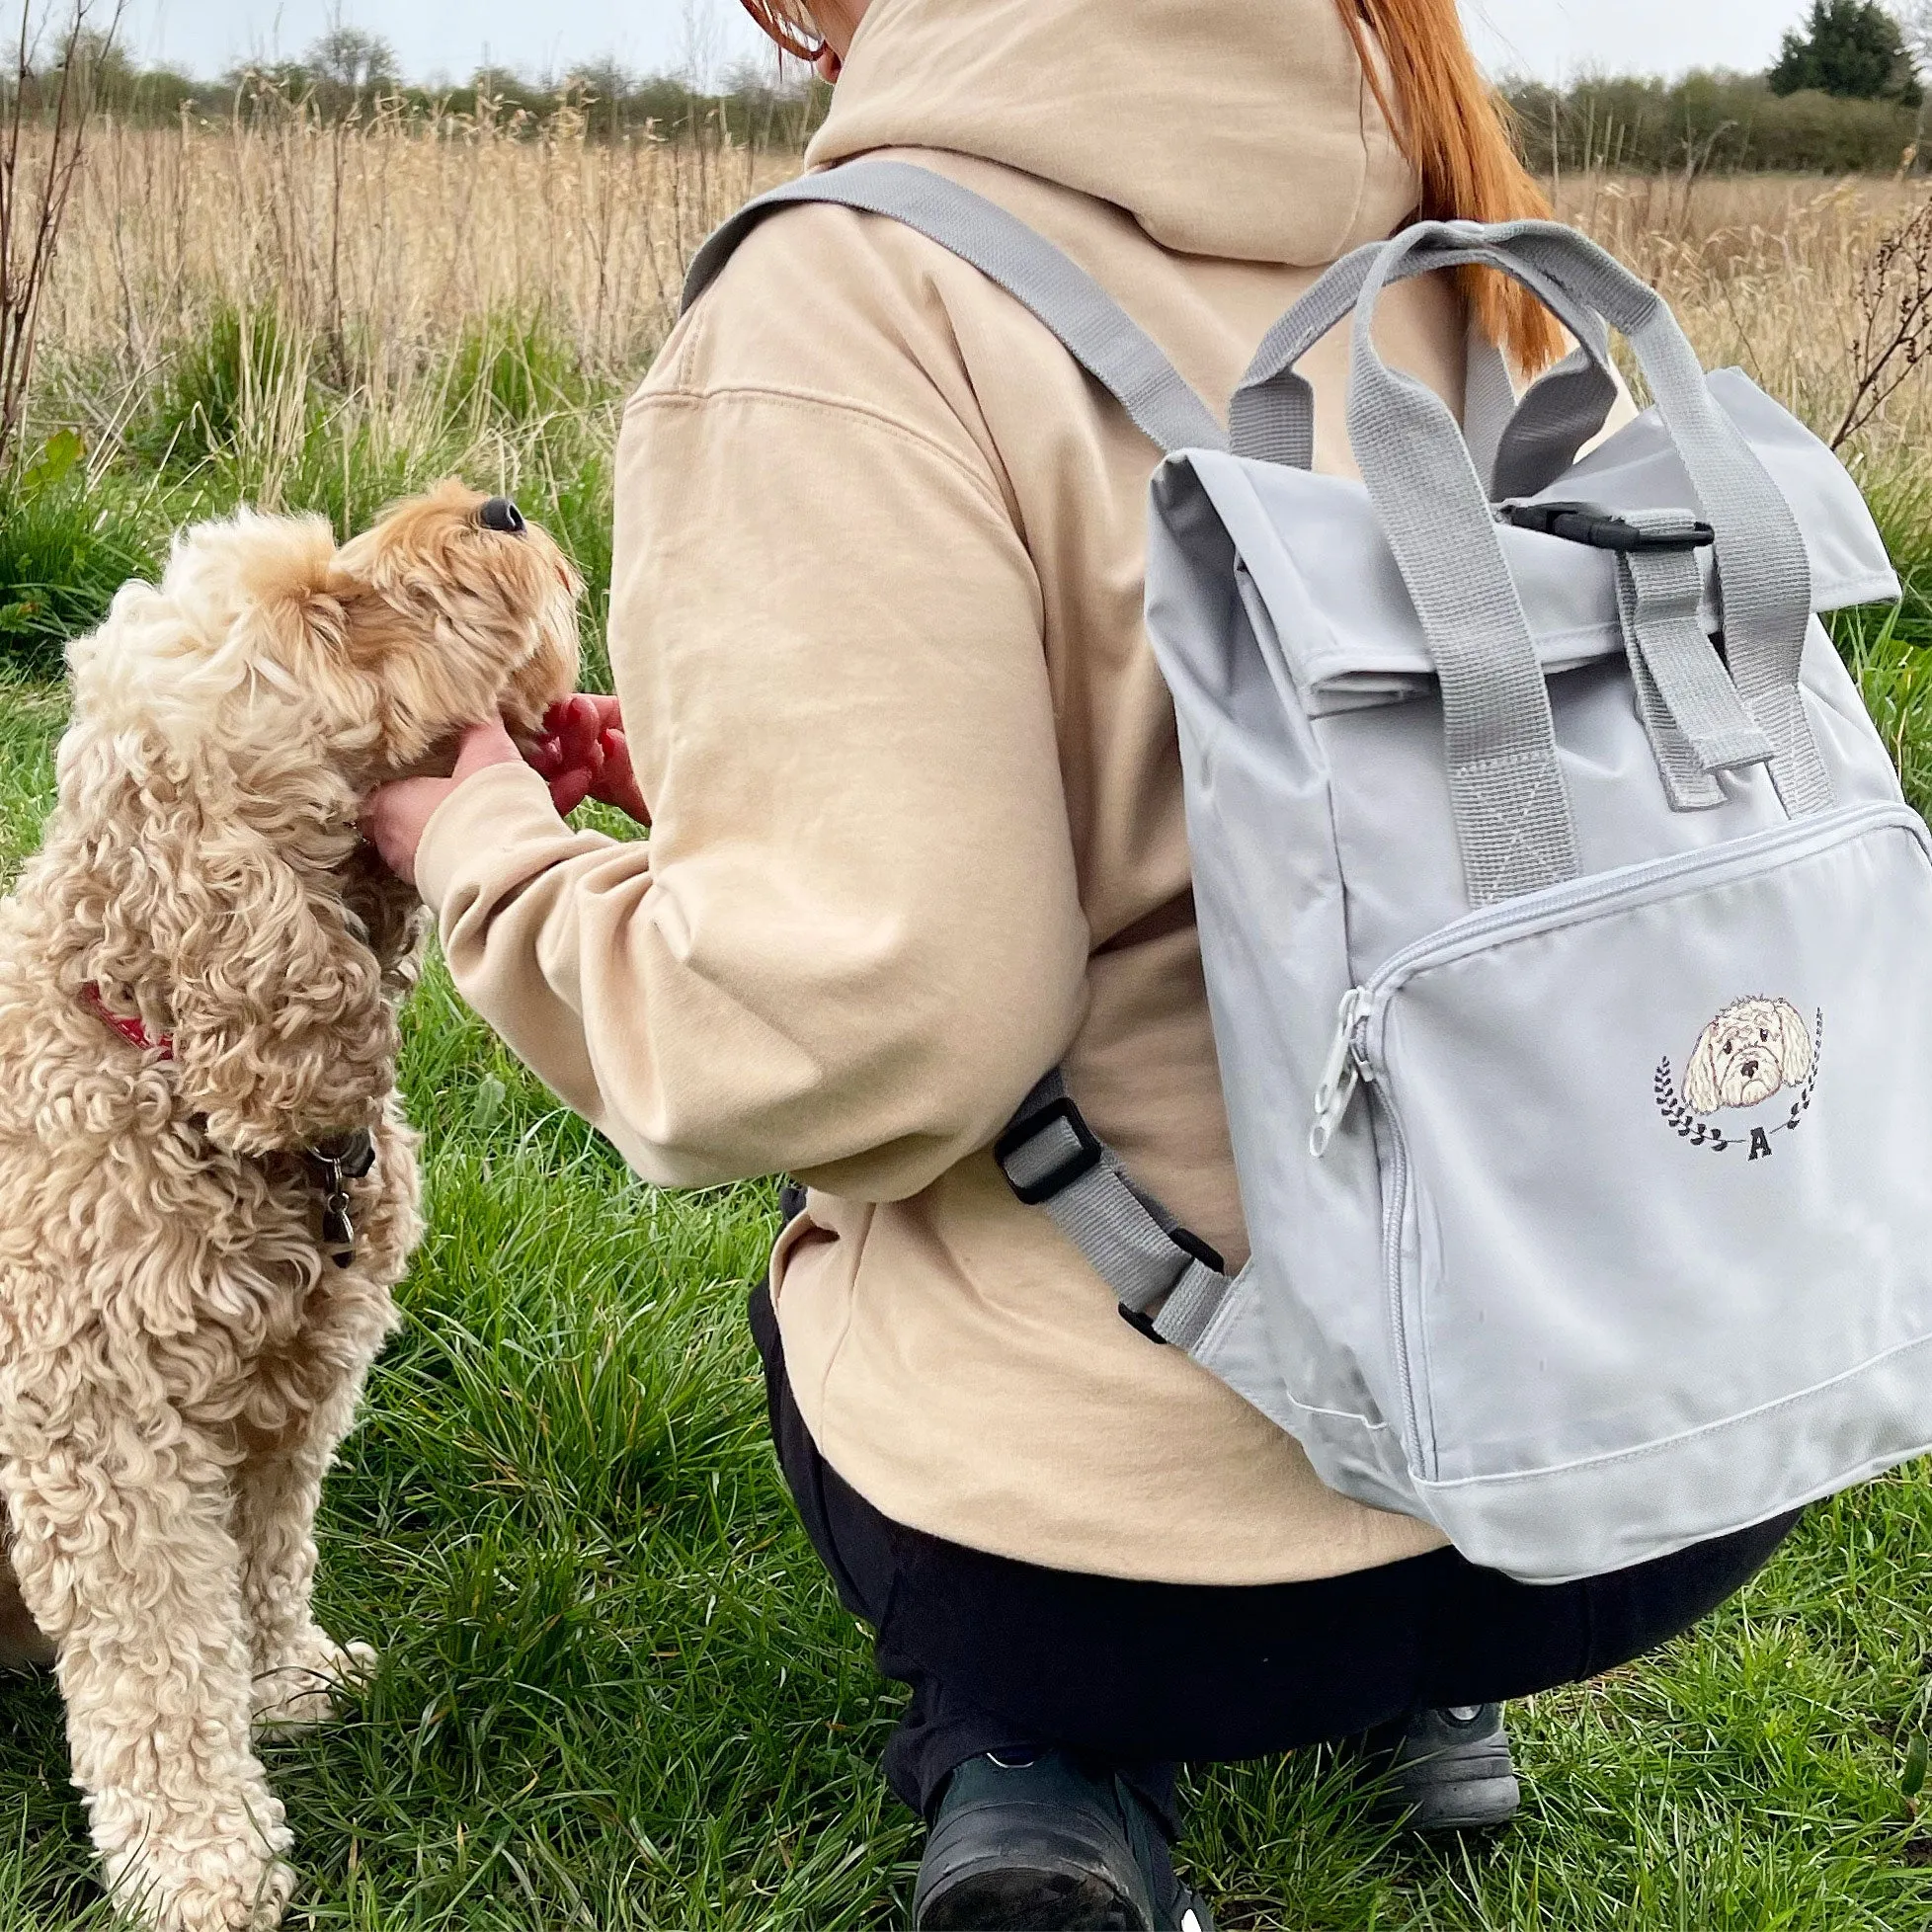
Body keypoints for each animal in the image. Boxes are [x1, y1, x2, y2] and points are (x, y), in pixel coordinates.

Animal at [0, 479, 579, 1916]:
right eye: (329, 616)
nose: (501, 503)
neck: (163, 1060)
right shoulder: (102, 1439)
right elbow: (160, 1667)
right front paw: (202, 1866)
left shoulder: (290, 1389)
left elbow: (261, 1559)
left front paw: (285, 1679)